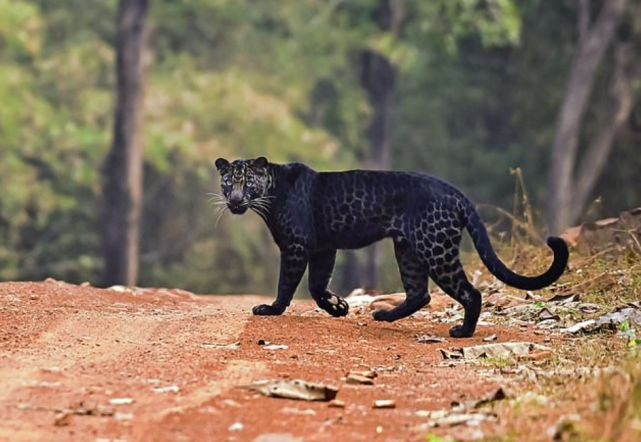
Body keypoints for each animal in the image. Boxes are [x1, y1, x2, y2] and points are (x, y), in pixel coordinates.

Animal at [212, 157, 568, 336]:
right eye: (228, 182)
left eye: (248, 182)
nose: (235, 200)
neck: (270, 194)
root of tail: (454, 192)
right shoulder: (324, 248)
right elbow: (316, 285)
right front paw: (338, 307)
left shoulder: (298, 245)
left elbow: (288, 282)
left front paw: (271, 309)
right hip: (408, 249)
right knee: (419, 293)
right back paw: (385, 316)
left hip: (434, 248)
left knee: (470, 292)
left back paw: (462, 332)